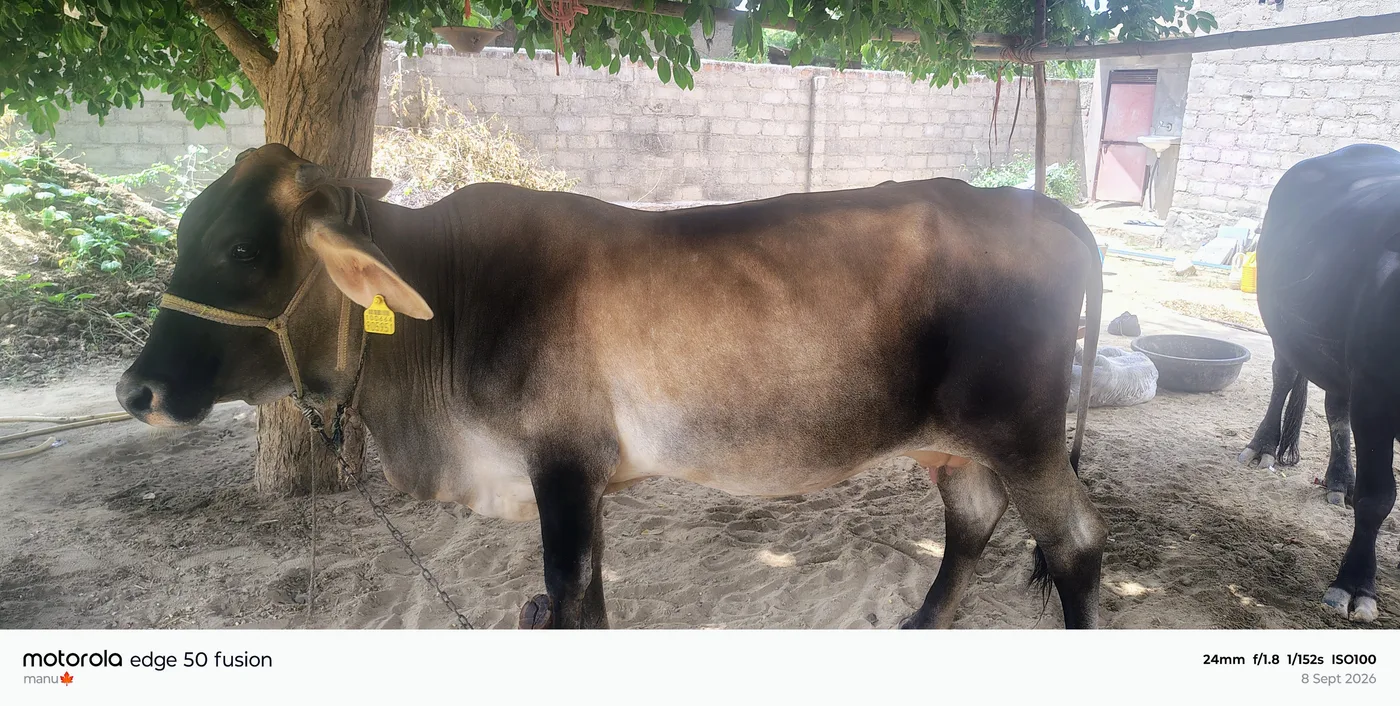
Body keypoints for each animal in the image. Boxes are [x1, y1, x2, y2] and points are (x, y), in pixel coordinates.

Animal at [116, 144, 1105, 629]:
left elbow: (566, 594)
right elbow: (585, 599)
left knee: (1076, 547)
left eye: (244, 248)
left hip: (1023, 433)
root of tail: (1044, 207)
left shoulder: (561, 465)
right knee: (972, 524)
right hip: (956, 442)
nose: (137, 393)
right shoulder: (587, 483)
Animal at [1238, 143, 1400, 623]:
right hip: (1283, 327)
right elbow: (1378, 497)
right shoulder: (1376, 396)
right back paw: (1264, 446)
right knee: (1285, 377)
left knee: (1335, 409)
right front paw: (1354, 585)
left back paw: (1338, 480)